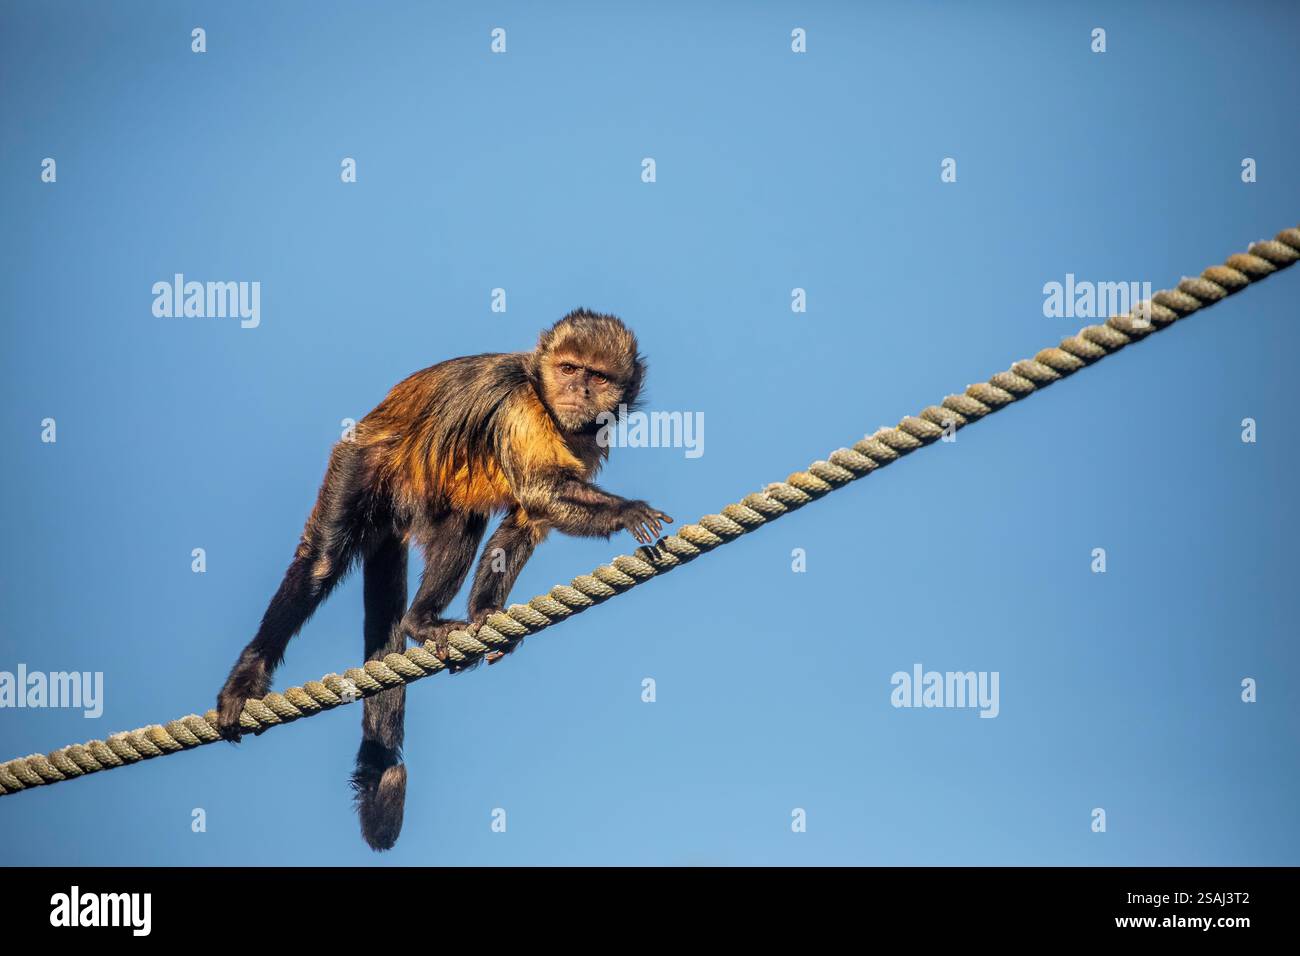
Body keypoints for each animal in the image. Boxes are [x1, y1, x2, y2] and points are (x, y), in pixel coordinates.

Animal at [214, 309, 671, 851]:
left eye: (598, 377)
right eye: (568, 368)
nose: (578, 391)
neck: (546, 399)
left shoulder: (587, 439)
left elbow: (526, 519)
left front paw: (486, 614)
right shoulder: (521, 404)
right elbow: (540, 490)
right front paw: (627, 511)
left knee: (461, 519)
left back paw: (424, 618)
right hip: (362, 462)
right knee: (323, 560)